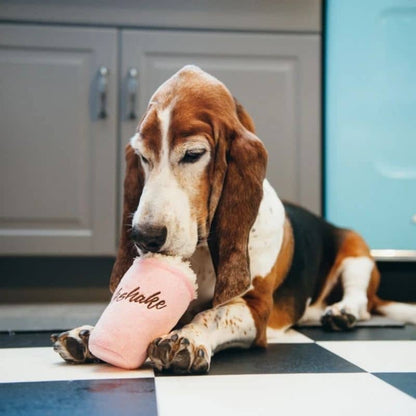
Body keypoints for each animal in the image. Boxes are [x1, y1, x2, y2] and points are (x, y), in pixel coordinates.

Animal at [52, 65, 416, 374]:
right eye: (142, 156)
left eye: (193, 155)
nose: (144, 236)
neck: (201, 252)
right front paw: (89, 332)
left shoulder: (255, 307)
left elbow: (215, 314)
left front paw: (187, 339)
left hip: (357, 250)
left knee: (360, 299)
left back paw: (342, 312)